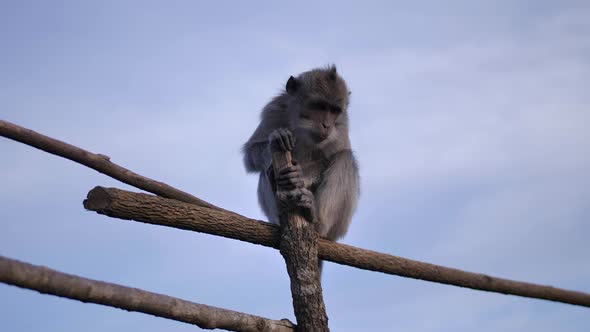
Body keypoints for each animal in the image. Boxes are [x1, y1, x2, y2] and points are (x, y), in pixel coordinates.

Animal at [244, 65, 360, 252]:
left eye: (334, 110)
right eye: (319, 106)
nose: (327, 125)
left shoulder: (342, 122)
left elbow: (339, 152)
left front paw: (300, 175)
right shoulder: (275, 109)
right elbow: (251, 152)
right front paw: (278, 138)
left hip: (339, 227)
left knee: (345, 158)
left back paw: (315, 218)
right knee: (264, 171)